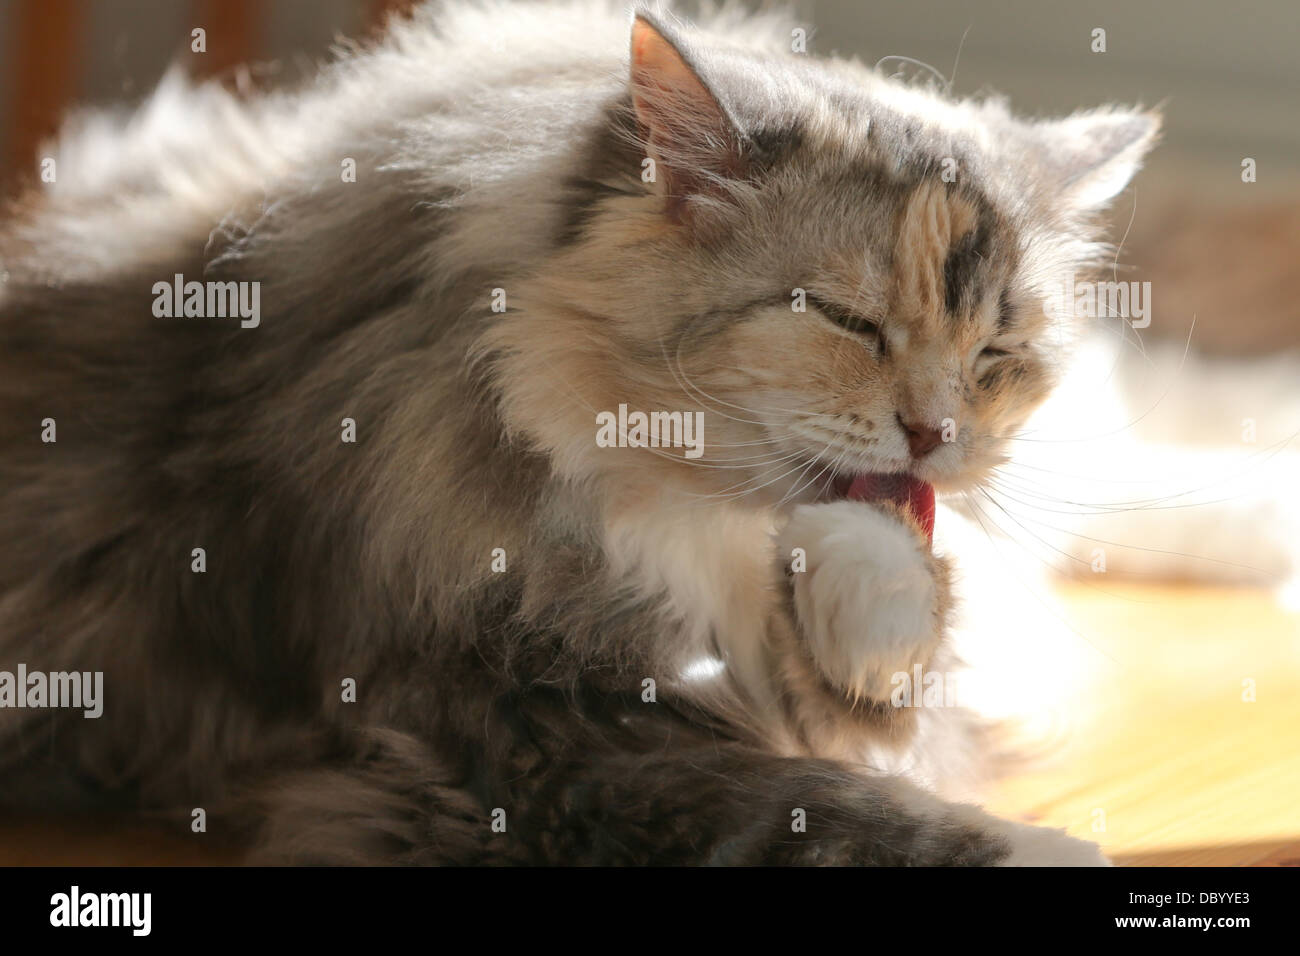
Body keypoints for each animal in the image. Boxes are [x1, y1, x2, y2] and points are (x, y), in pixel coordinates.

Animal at [0, 1, 1164, 868]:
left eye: (996, 352)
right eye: (845, 320)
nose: (934, 434)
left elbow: (898, 675)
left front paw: (862, 573)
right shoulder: (511, 729)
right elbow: (821, 806)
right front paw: (1057, 849)